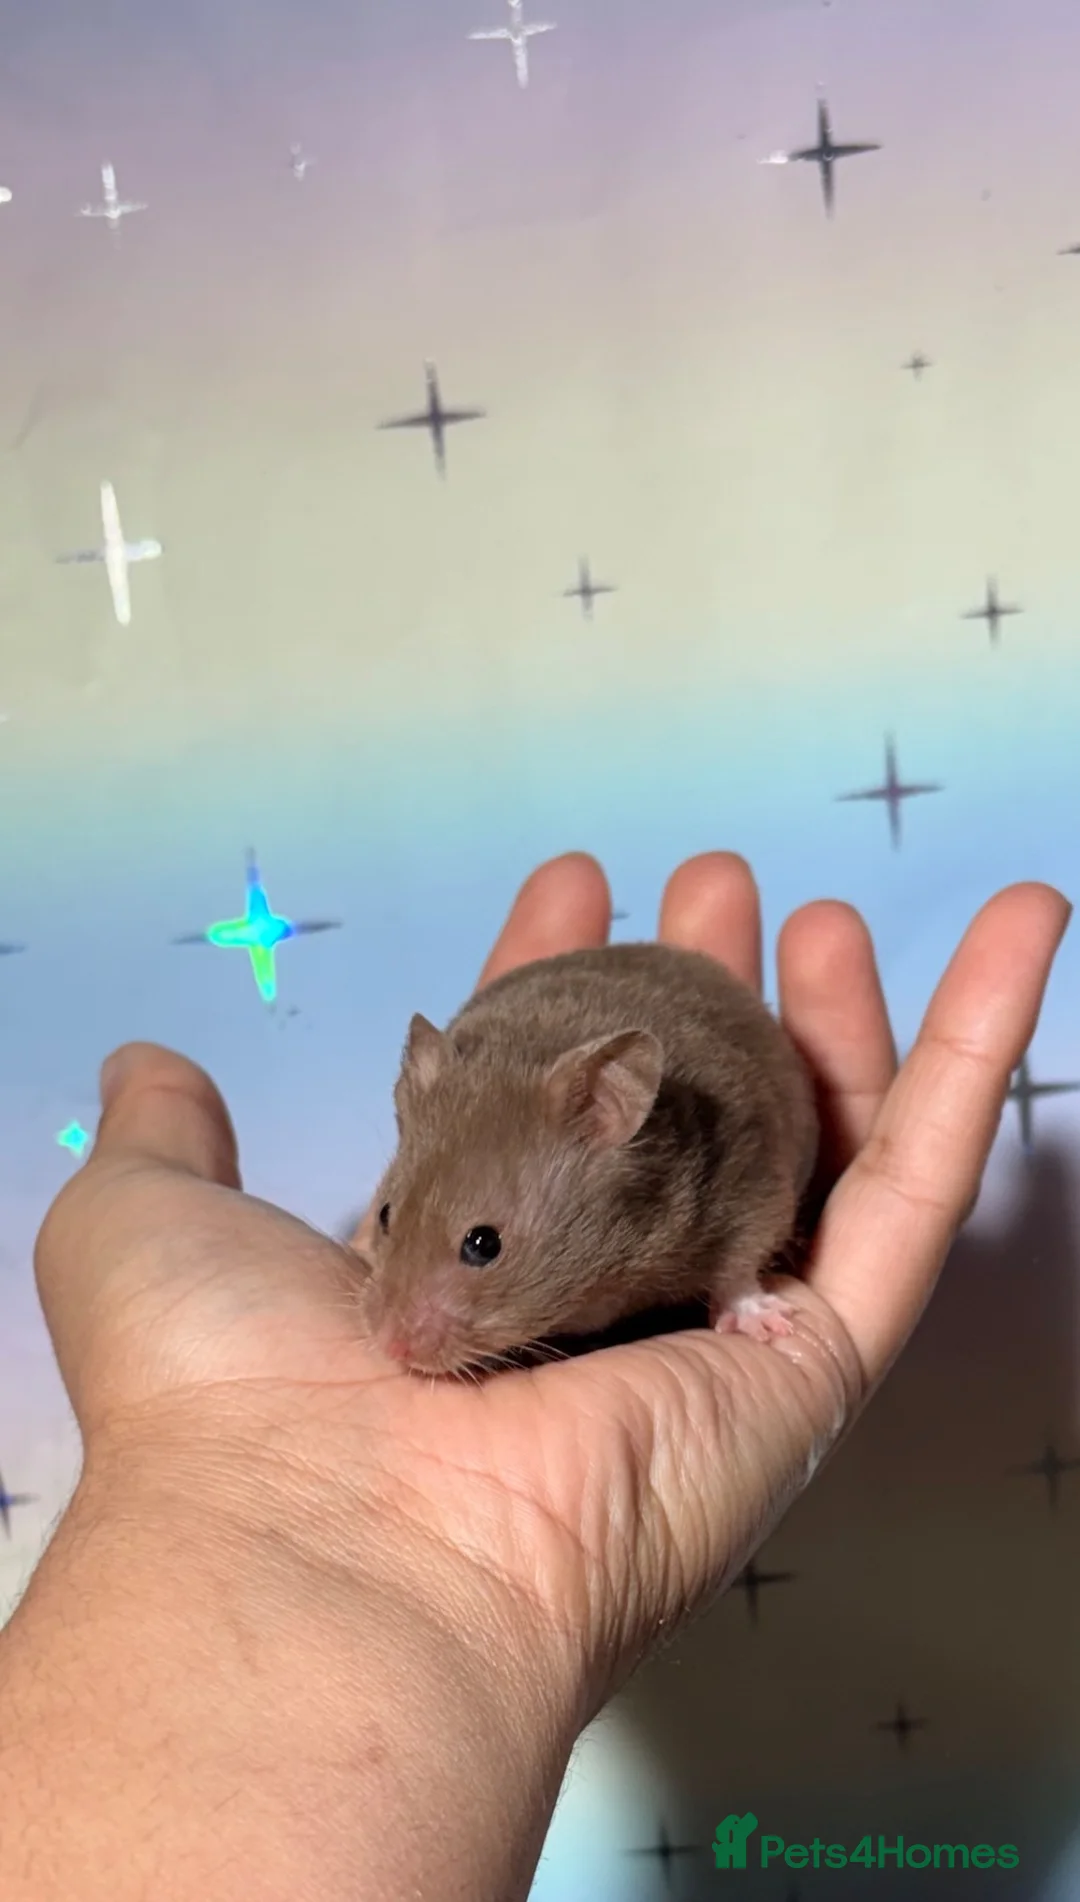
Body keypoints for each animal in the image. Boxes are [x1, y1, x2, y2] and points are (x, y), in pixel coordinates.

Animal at [356, 941, 819, 1377]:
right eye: (384, 1214)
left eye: (484, 1244)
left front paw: (768, 1324)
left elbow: (739, 1268)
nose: (390, 1348)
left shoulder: (751, 1177)